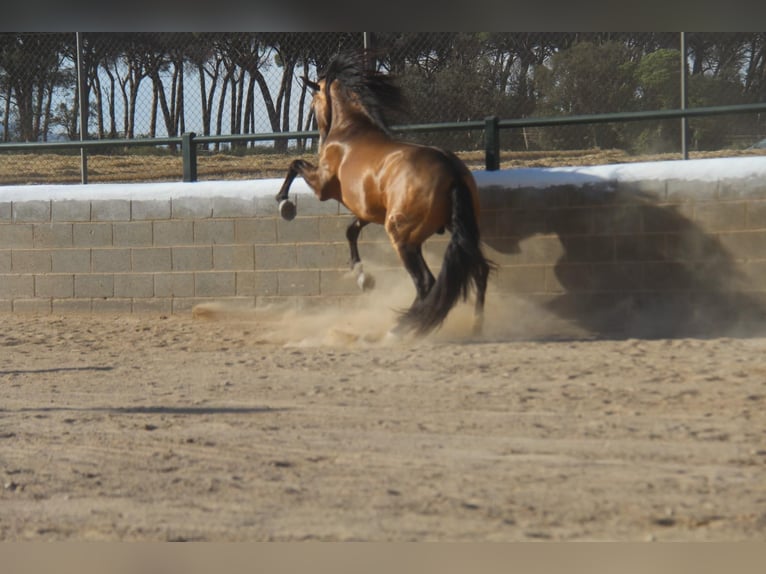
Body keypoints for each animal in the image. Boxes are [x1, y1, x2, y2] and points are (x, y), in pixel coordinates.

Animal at [276, 53, 498, 338]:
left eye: (314, 103)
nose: (320, 138)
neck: (349, 133)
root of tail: (451, 169)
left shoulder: (322, 187)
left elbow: (295, 164)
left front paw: (284, 203)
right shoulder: (367, 210)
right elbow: (350, 231)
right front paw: (363, 278)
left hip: (403, 237)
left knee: (426, 282)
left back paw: (400, 328)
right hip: (459, 229)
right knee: (479, 271)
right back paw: (476, 327)